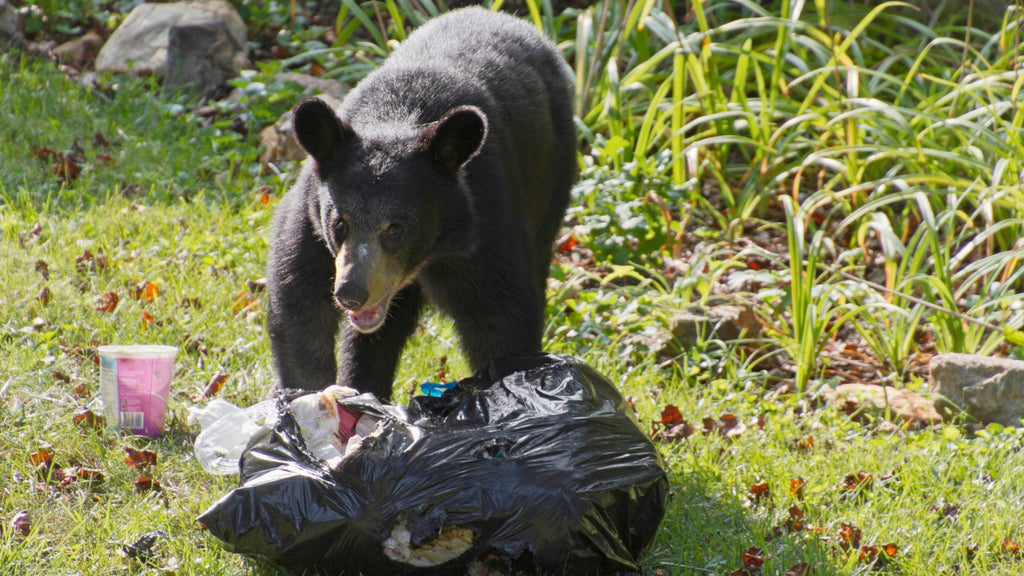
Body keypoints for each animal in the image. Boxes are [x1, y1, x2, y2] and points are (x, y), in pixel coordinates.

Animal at [266, 6, 577, 397]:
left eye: (395, 228)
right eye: (339, 223)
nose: (350, 293)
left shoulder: (483, 224)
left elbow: (501, 320)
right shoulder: (311, 228)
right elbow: (300, 310)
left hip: (552, 177)